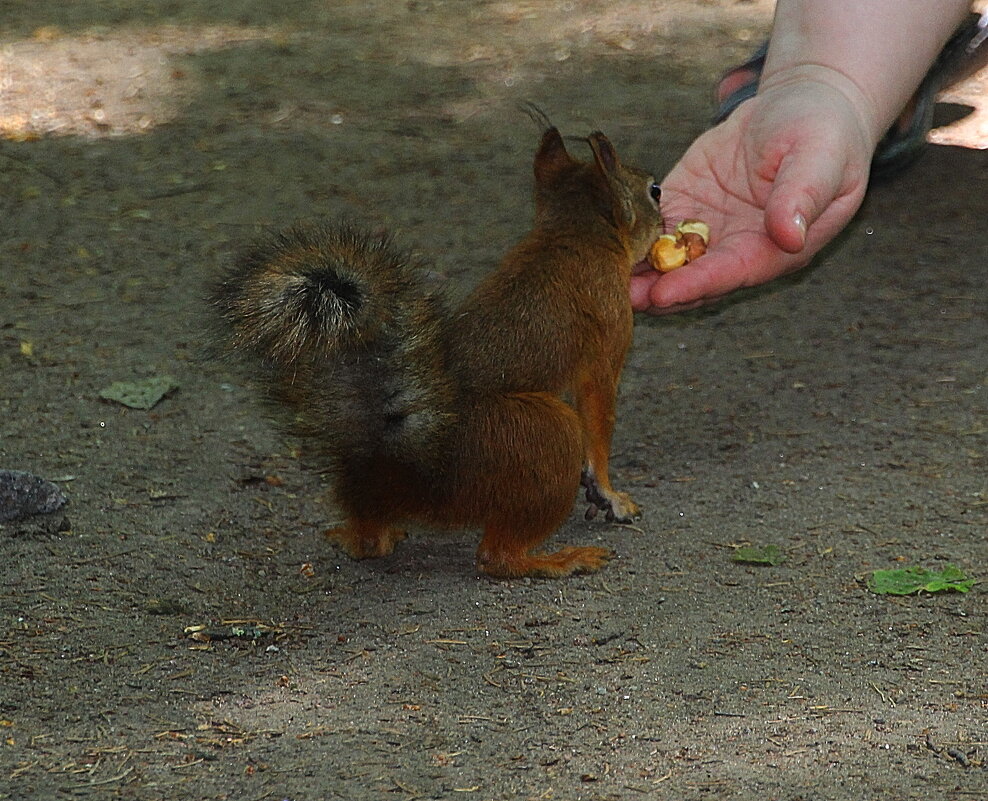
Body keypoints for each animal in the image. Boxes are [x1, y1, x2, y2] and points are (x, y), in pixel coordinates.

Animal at [214, 112, 664, 576]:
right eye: (654, 190)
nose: (665, 214)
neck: (574, 232)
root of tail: (417, 476)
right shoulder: (610, 328)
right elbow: (599, 413)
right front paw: (610, 493)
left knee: (371, 536)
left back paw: (360, 535)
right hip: (544, 431)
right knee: (496, 556)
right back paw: (560, 559)